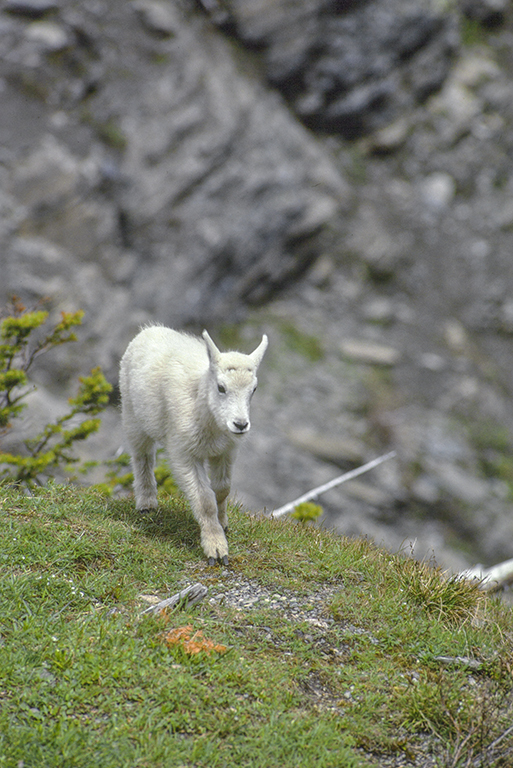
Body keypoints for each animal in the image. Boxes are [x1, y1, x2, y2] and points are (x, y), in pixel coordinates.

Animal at [117, 324, 266, 564]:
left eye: (254, 389)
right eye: (221, 387)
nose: (240, 424)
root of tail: (149, 329)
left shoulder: (226, 451)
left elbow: (222, 489)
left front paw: (223, 523)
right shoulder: (184, 452)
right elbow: (205, 500)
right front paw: (216, 548)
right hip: (132, 414)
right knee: (142, 457)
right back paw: (146, 503)